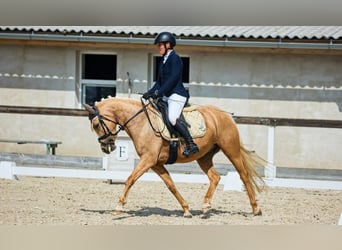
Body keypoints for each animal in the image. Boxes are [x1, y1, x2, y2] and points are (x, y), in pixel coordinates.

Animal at [84, 96, 266, 218]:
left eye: (96, 124)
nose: (107, 147)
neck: (141, 122)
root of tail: (226, 115)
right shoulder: (155, 163)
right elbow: (170, 185)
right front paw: (186, 210)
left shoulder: (148, 159)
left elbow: (130, 180)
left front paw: (118, 207)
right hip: (204, 156)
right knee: (215, 177)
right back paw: (206, 206)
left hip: (230, 149)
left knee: (243, 175)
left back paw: (256, 209)